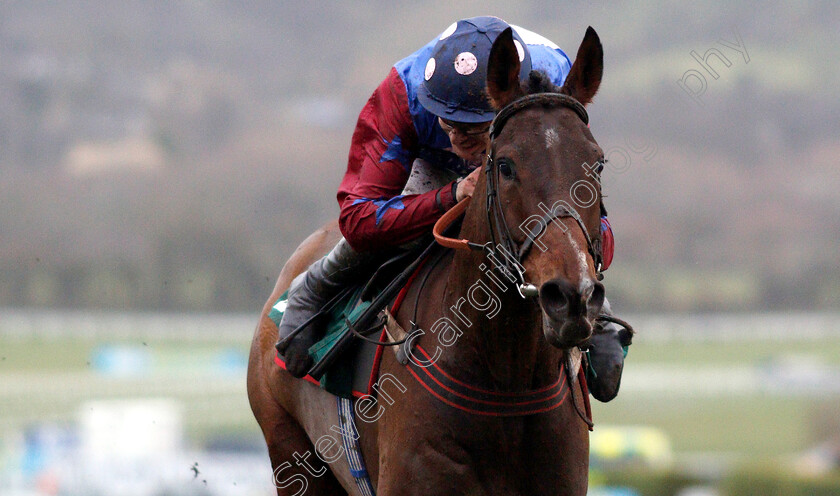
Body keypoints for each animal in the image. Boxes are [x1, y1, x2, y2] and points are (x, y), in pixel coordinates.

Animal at [246, 28, 608, 496]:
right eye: (505, 165)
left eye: (597, 164)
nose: (571, 297)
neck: (506, 385)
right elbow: (361, 208)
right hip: (291, 454)